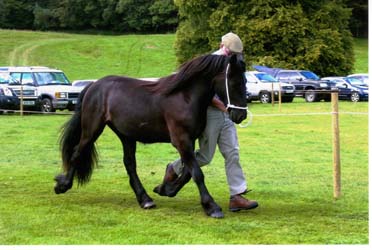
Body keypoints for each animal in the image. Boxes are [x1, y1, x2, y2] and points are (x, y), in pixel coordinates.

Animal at [54, 53, 247, 218]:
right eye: (235, 83)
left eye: (245, 81)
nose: (241, 116)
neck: (185, 97)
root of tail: (93, 86)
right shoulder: (181, 140)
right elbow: (197, 173)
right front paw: (212, 207)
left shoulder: (189, 141)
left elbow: (188, 171)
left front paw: (165, 189)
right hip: (92, 129)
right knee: (77, 153)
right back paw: (62, 186)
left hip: (126, 135)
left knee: (129, 164)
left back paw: (145, 199)